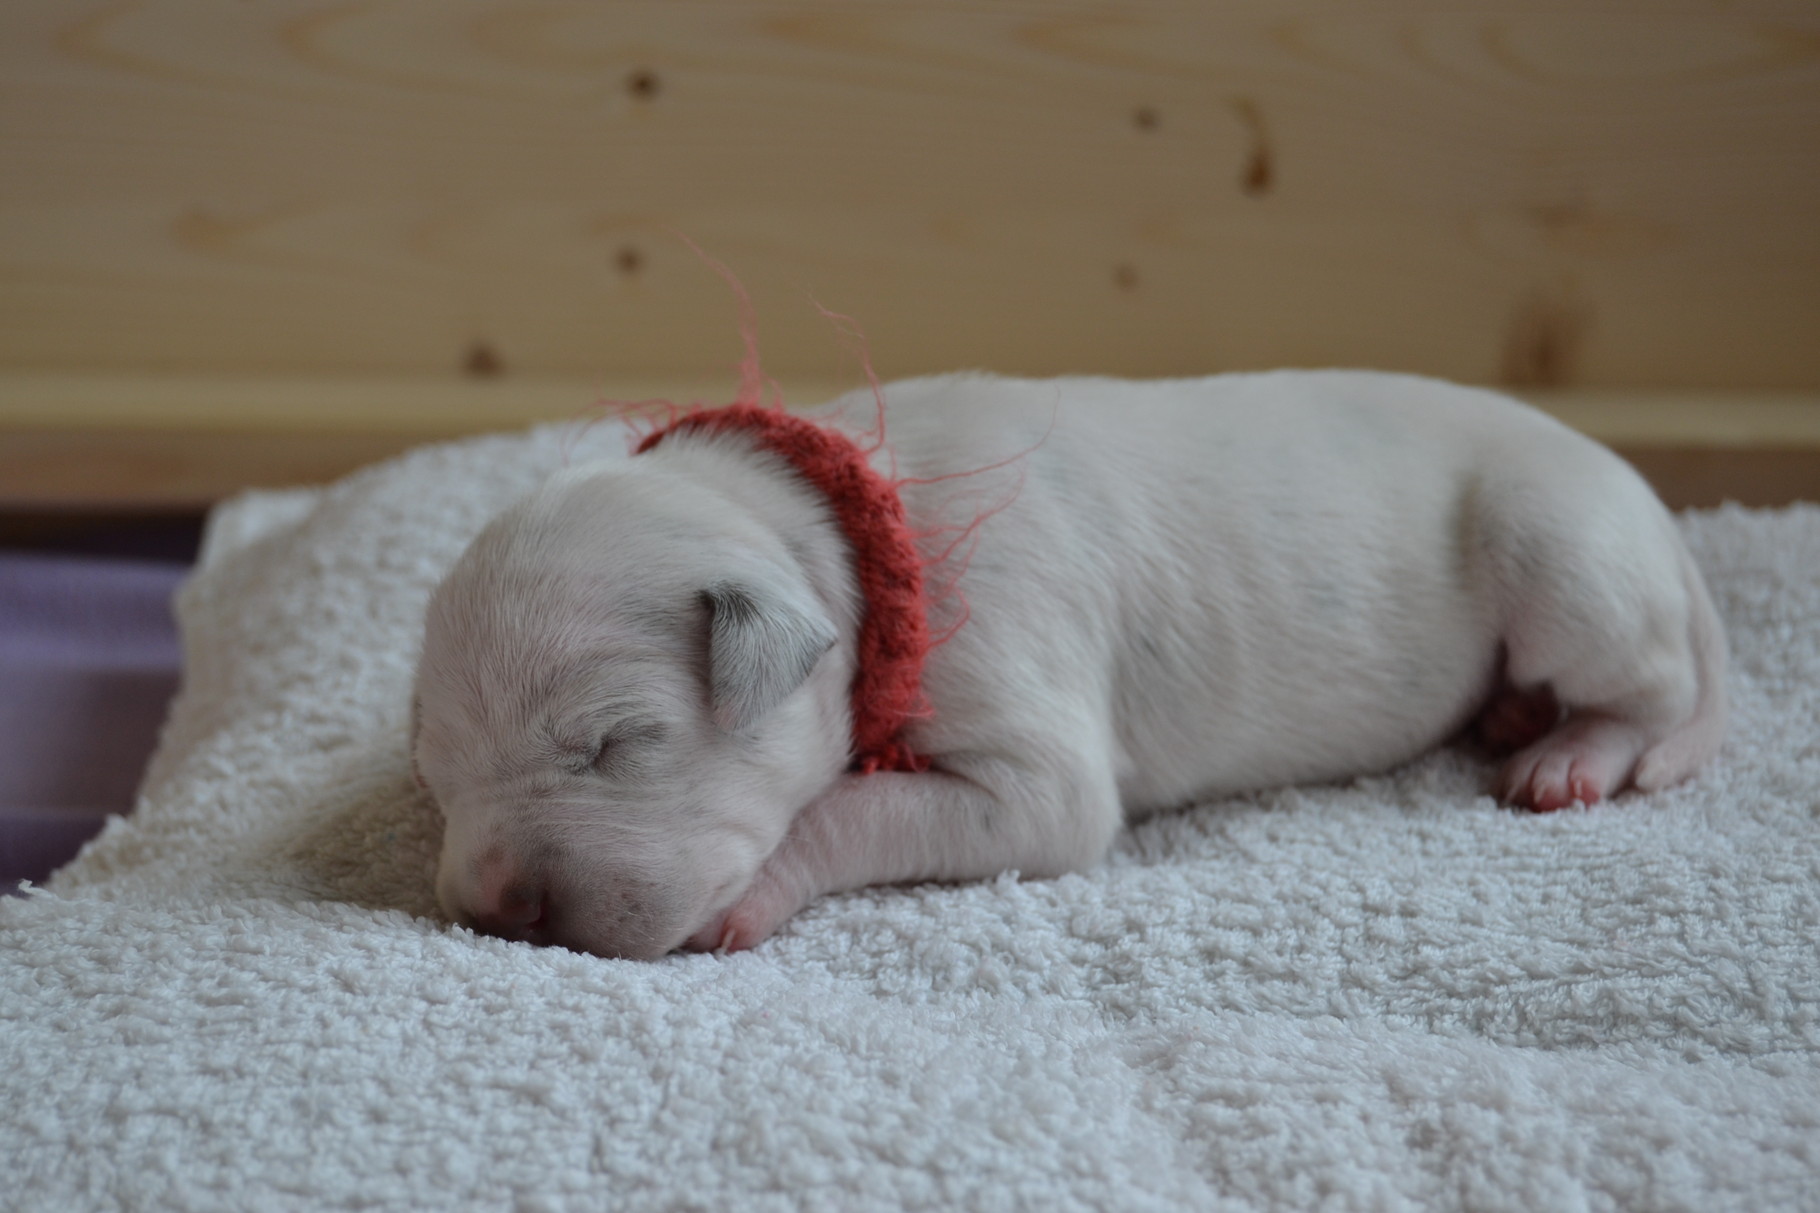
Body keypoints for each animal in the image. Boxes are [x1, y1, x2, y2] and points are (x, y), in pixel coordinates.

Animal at [409, 367, 1718, 954]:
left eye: (619, 741)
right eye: (437, 778)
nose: (501, 913)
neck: (856, 529)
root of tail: (1652, 507)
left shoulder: (1027, 752)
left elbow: (853, 807)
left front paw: (751, 893)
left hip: (1560, 557)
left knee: (1652, 693)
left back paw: (1566, 753)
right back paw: (1513, 717)